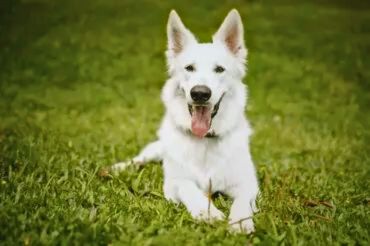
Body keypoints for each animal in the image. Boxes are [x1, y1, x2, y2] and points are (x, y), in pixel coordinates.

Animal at [110, 8, 260, 234]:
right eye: (189, 68)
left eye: (219, 69)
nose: (200, 94)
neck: (205, 139)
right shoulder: (173, 183)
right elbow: (189, 187)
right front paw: (207, 212)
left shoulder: (248, 183)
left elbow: (242, 201)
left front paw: (241, 221)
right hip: (156, 150)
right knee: (139, 159)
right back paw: (117, 168)